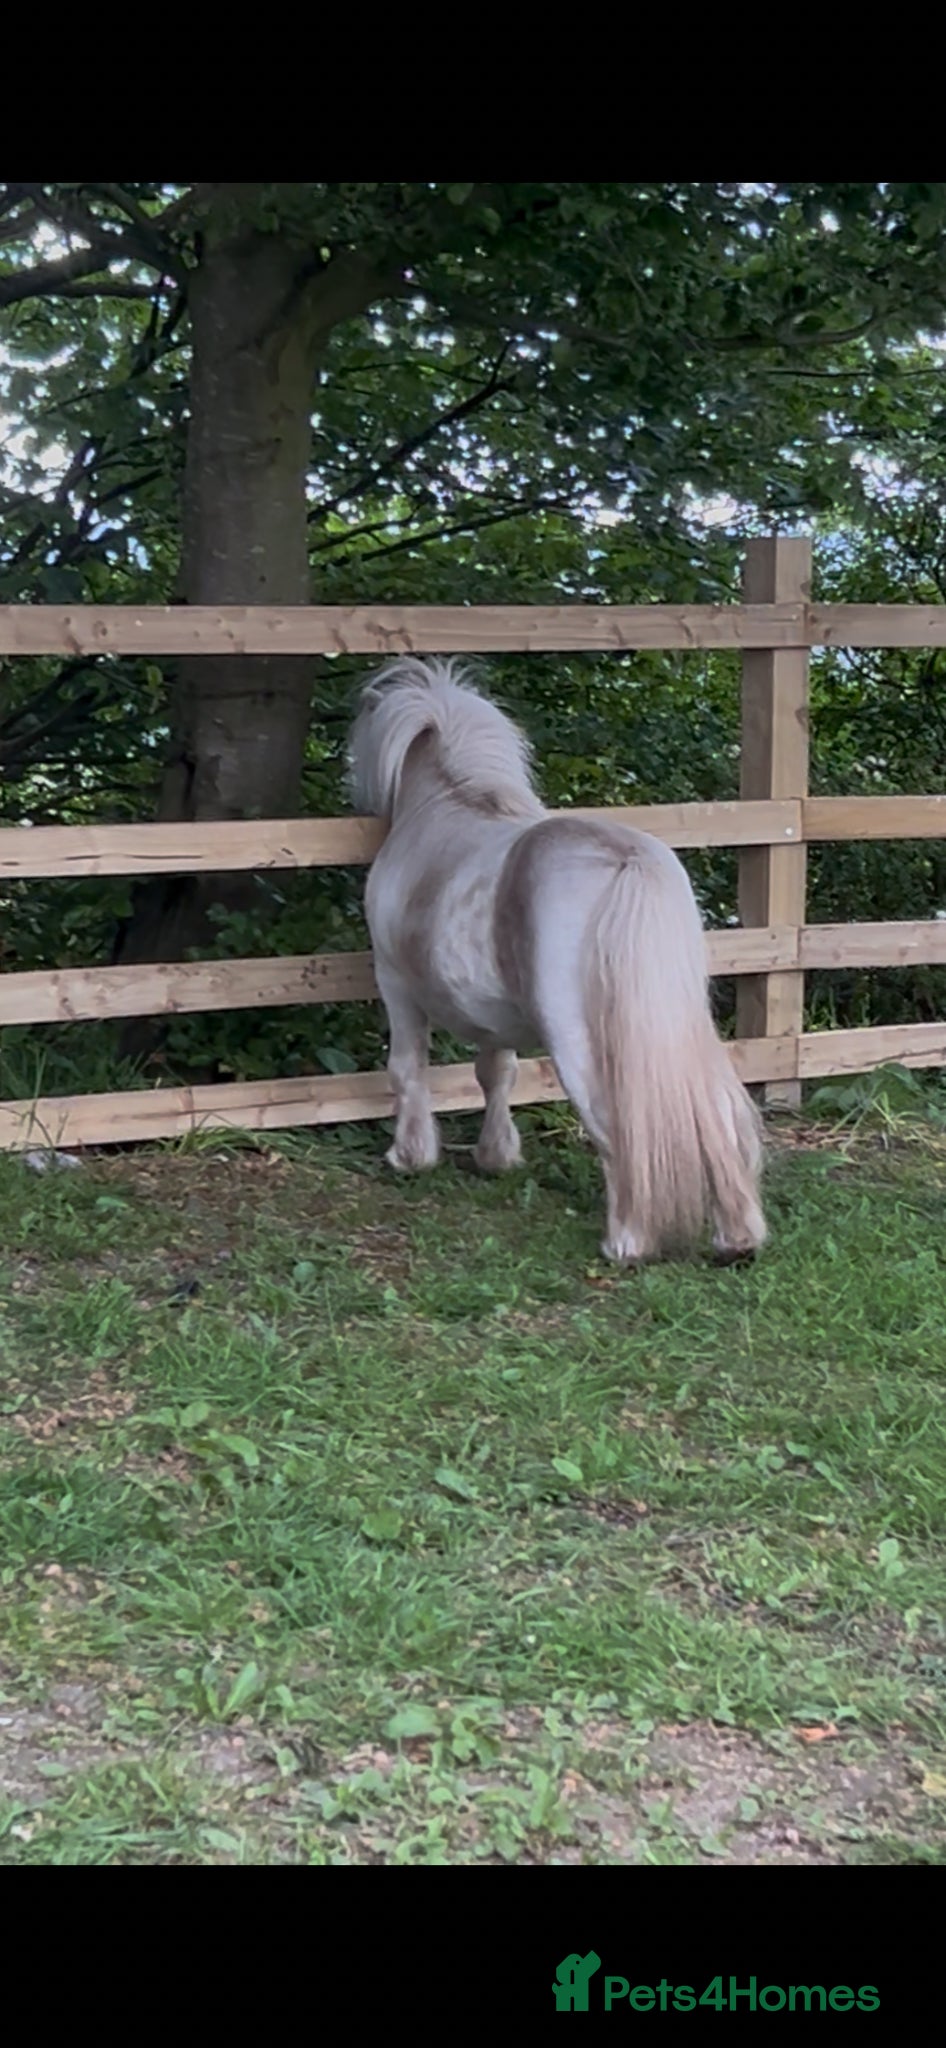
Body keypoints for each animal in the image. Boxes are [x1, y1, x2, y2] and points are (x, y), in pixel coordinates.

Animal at [348, 657, 765, 1266]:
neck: (446, 805)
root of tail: (628, 862)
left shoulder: (396, 984)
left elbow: (407, 1069)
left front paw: (409, 1156)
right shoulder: (492, 1013)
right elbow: (496, 1074)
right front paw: (495, 1156)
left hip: (576, 1038)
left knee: (615, 1125)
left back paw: (626, 1242)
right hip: (679, 1024)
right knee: (720, 1114)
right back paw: (737, 1238)